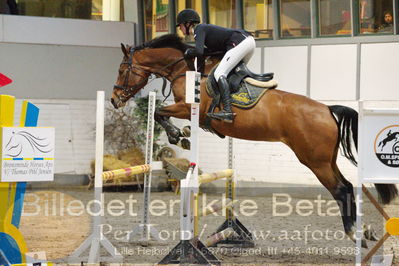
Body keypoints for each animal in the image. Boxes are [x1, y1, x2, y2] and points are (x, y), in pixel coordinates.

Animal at [111, 34, 398, 248]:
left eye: (122, 69)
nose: (114, 100)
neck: (184, 70)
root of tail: (327, 110)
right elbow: (159, 113)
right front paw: (180, 135)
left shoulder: (189, 108)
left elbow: (159, 112)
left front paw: (177, 135)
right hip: (325, 159)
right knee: (347, 186)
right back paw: (365, 232)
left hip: (314, 160)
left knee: (339, 189)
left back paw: (355, 234)